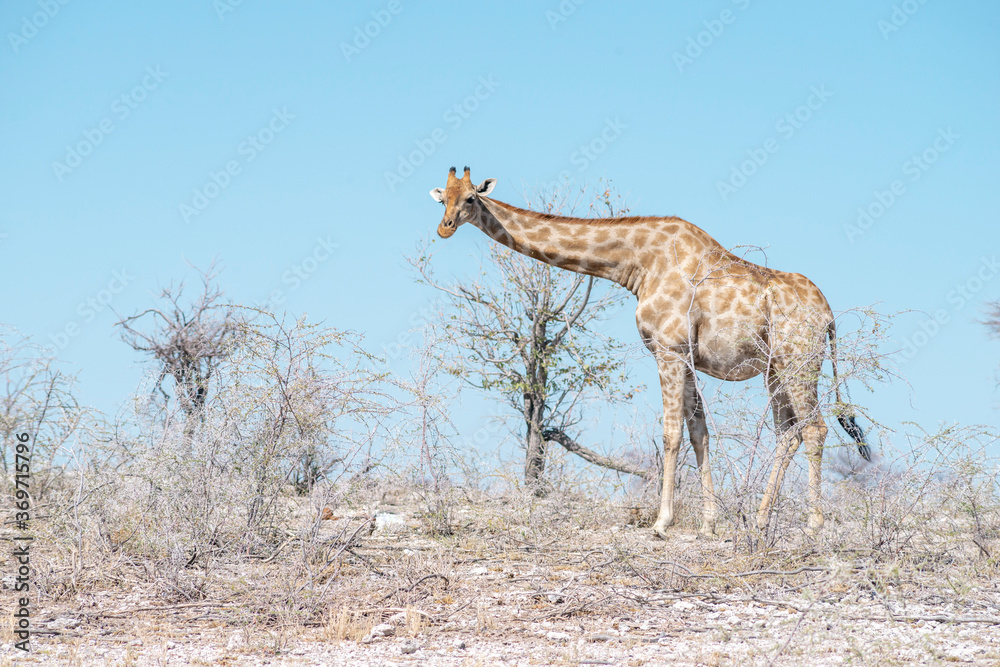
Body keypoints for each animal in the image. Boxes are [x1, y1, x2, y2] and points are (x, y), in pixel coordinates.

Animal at [430, 167, 871, 537]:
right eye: (441, 199)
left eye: (470, 197)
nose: (444, 228)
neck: (637, 263)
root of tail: (829, 316)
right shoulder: (685, 355)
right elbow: (699, 433)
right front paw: (709, 523)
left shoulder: (668, 349)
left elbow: (671, 432)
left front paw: (662, 522)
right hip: (775, 369)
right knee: (788, 433)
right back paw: (761, 521)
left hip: (800, 361)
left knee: (814, 428)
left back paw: (813, 525)